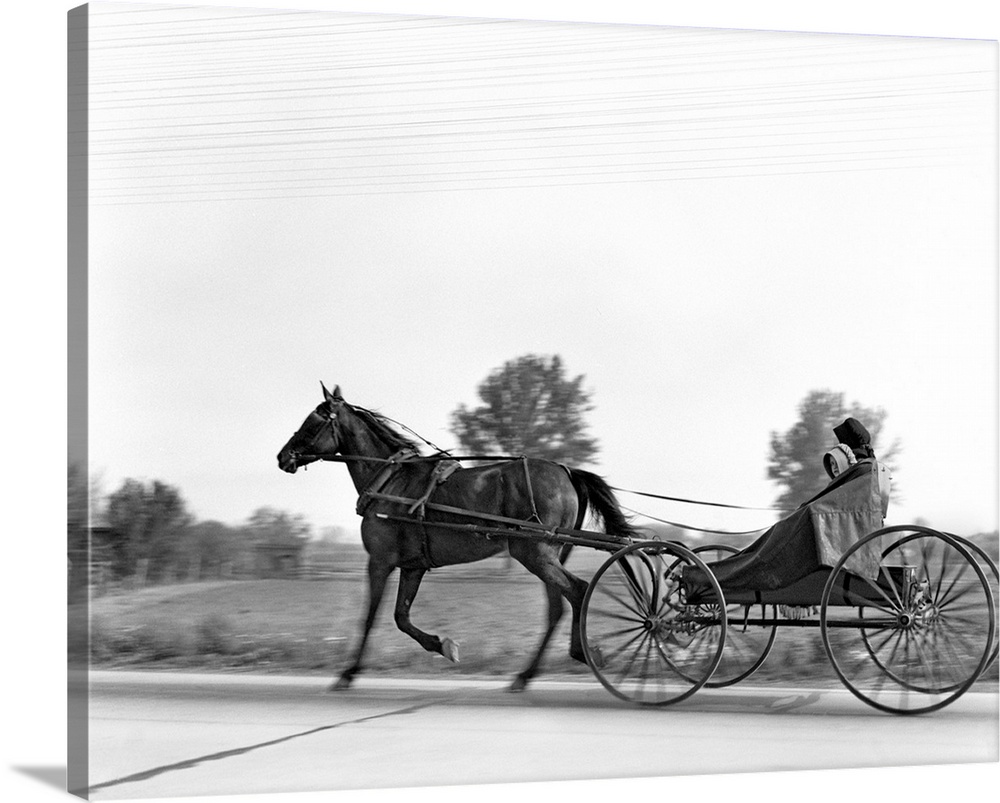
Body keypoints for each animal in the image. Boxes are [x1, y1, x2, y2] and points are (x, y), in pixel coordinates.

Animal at [278, 384, 636, 692]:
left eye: (312, 421)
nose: (283, 457)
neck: (392, 481)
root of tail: (565, 471)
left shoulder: (379, 561)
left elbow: (370, 616)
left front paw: (348, 673)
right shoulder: (413, 566)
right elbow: (401, 617)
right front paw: (442, 645)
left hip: (534, 552)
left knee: (578, 591)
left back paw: (579, 654)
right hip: (548, 553)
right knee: (558, 607)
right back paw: (528, 674)